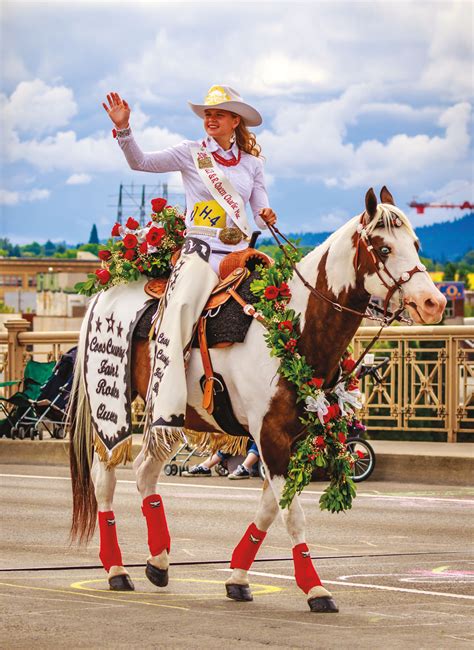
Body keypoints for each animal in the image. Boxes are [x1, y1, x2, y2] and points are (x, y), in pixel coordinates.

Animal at [68, 185, 446, 612]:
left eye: (416, 244)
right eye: (383, 248)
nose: (434, 303)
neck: (294, 327)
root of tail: (105, 292)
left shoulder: (295, 440)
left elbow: (269, 510)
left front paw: (237, 578)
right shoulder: (270, 437)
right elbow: (292, 515)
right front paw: (316, 588)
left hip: (171, 415)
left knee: (146, 471)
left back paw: (159, 561)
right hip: (112, 408)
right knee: (105, 480)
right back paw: (117, 570)